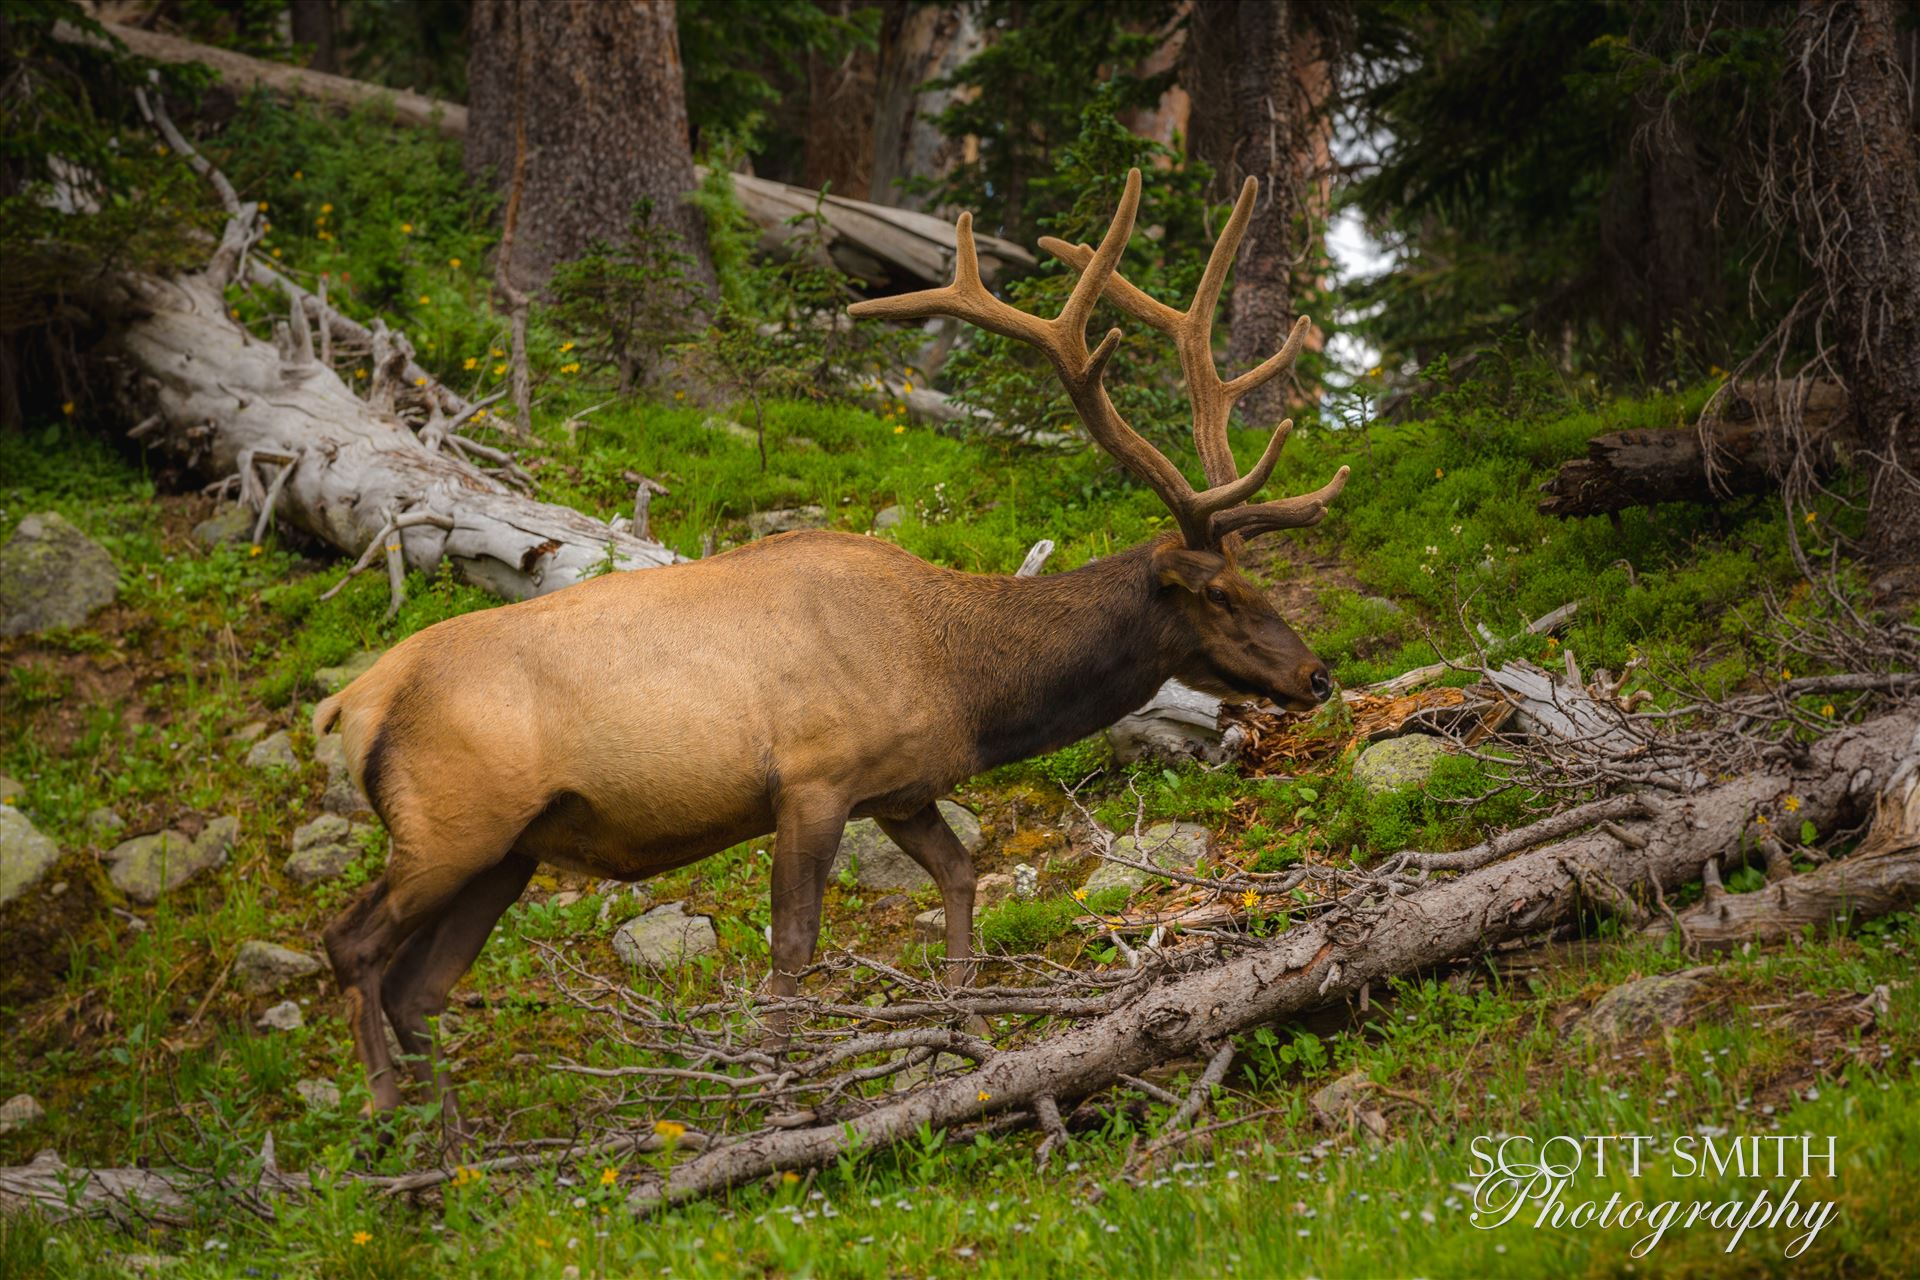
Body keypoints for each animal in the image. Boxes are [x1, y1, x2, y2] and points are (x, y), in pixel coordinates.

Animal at [318, 167, 1351, 1120]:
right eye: (1219, 591)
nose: (1317, 673)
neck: (961, 680)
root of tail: (350, 702)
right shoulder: (813, 780)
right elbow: (794, 948)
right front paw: (774, 1095)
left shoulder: (901, 789)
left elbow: (963, 878)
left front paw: (962, 1037)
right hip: (451, 822)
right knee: (351, 944)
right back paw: (385, 1123)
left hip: (509, 851)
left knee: (419, 988)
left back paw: (451, 1152)